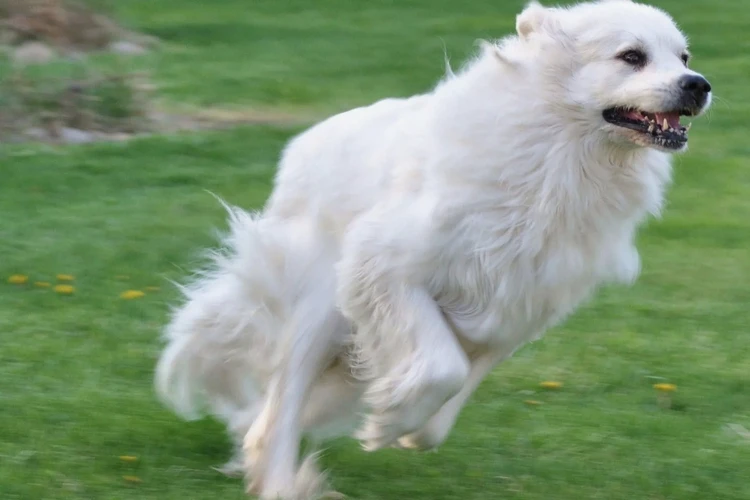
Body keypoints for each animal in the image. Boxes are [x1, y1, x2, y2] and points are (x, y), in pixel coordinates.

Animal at [154, 1, 712, 498]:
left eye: (683, 56)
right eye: (631, 56)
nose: (699, 84)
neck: (557, 155)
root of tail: (299, 151)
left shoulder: (516, 309)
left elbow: (449, 403)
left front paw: (406, 423)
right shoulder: (387, 268)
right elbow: (443, 368)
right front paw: (387, 422)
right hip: (319, 309)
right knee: (279, 413)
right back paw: (281, 484)